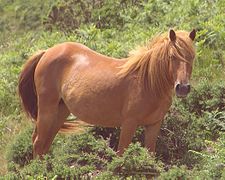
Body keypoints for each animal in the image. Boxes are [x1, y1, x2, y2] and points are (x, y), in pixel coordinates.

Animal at [18, 28, 196, 157]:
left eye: (192, 57)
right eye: (172, 56)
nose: (182, 88)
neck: (148, 82)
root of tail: (47, 52)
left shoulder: (153, 125)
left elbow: (150, 156)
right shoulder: (129, 123)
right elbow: (121, 155)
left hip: (61, 110)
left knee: (45, 144)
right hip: (47, 109)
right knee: (38, 143)